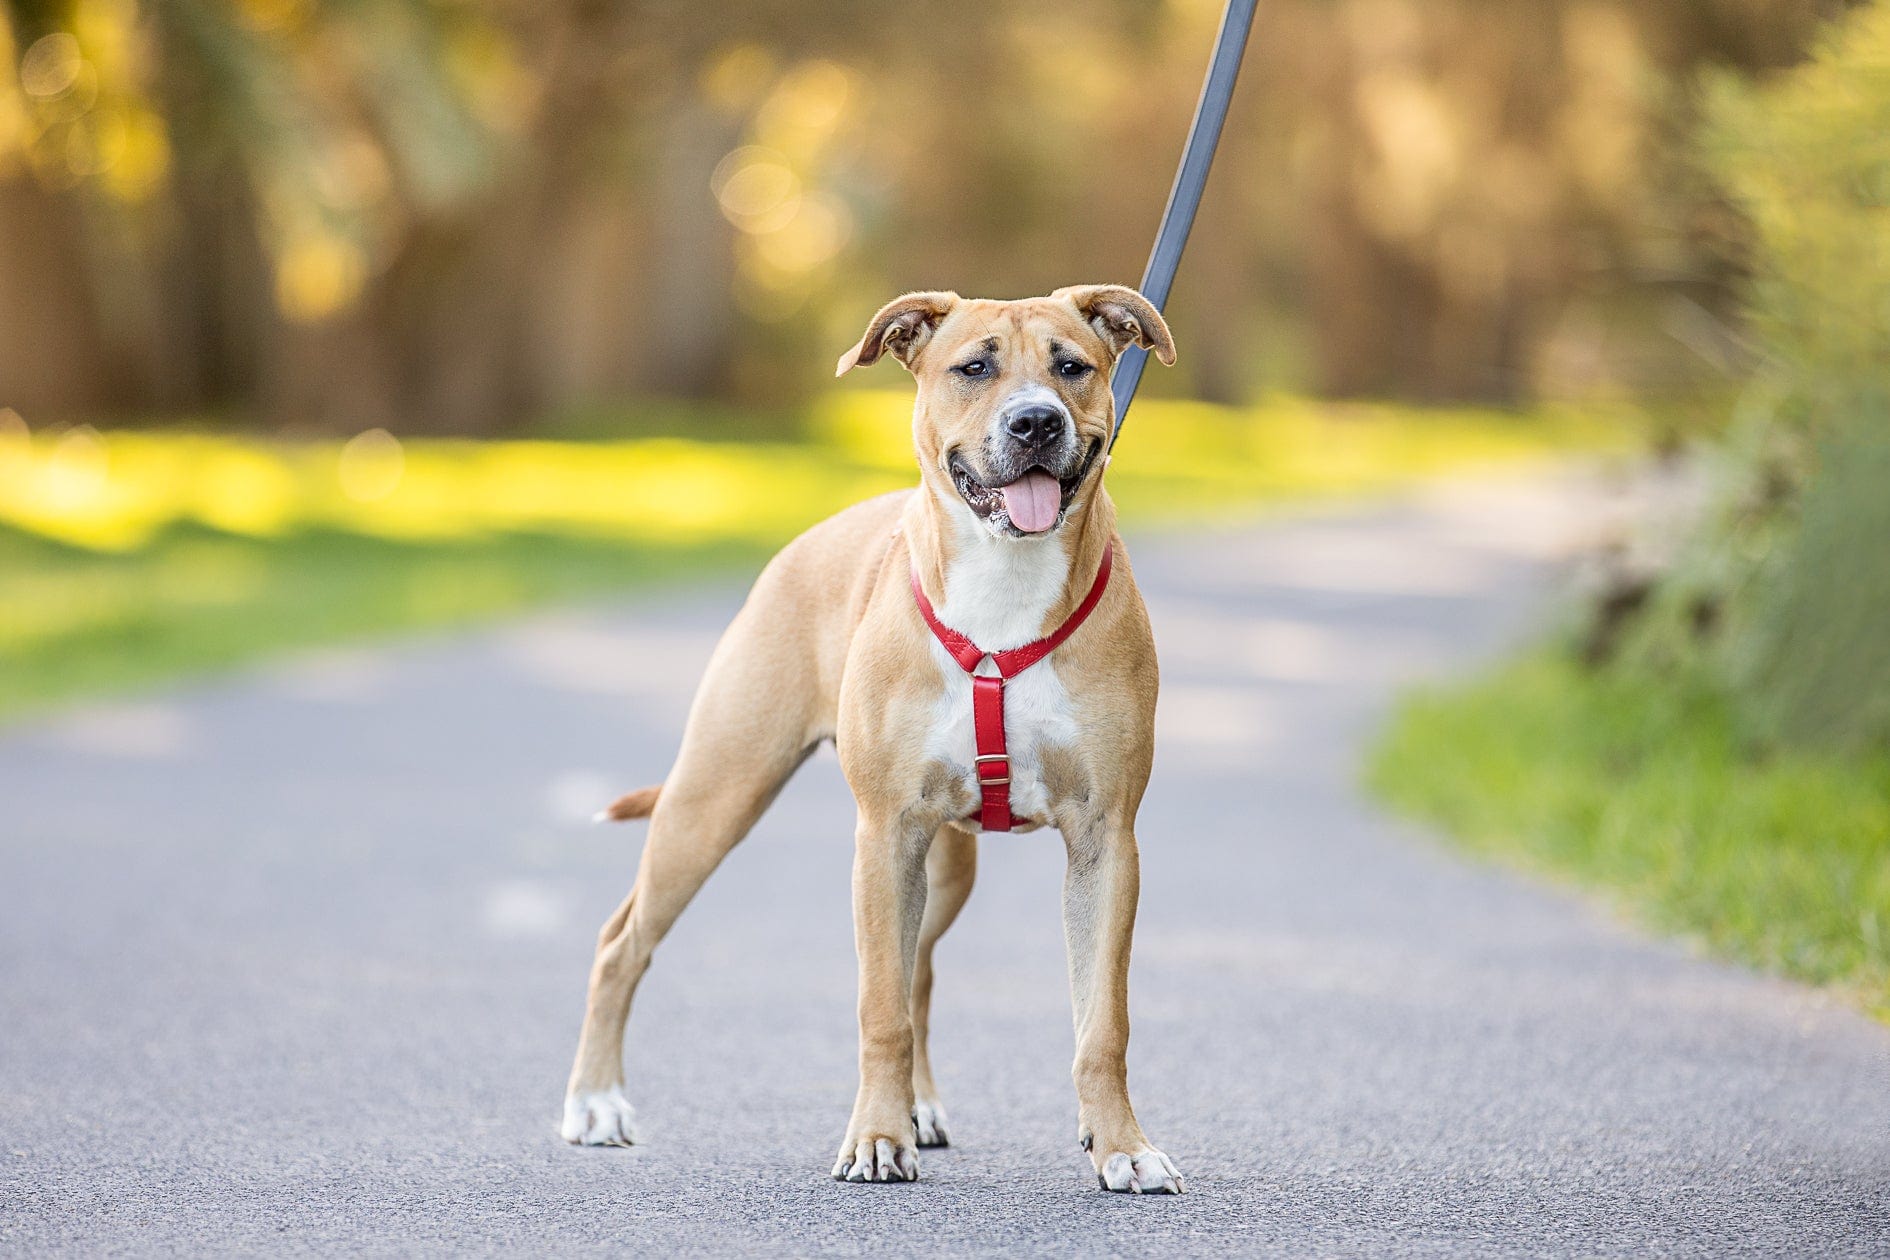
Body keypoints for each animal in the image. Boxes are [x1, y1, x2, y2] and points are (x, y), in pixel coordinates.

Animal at [559, 289, 1179, 1201]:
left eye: (1071, 365)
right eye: (974, 367)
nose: (1035, 421)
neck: (1005, 584)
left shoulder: (1107, 841)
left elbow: (1102, 1021)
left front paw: (1120, 1145)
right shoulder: (885, 836)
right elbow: (878, 1009)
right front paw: (877, 1139)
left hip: (943, 866)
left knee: (919, 968)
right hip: (715, 800)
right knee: (621, 943)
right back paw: (596, 1103)